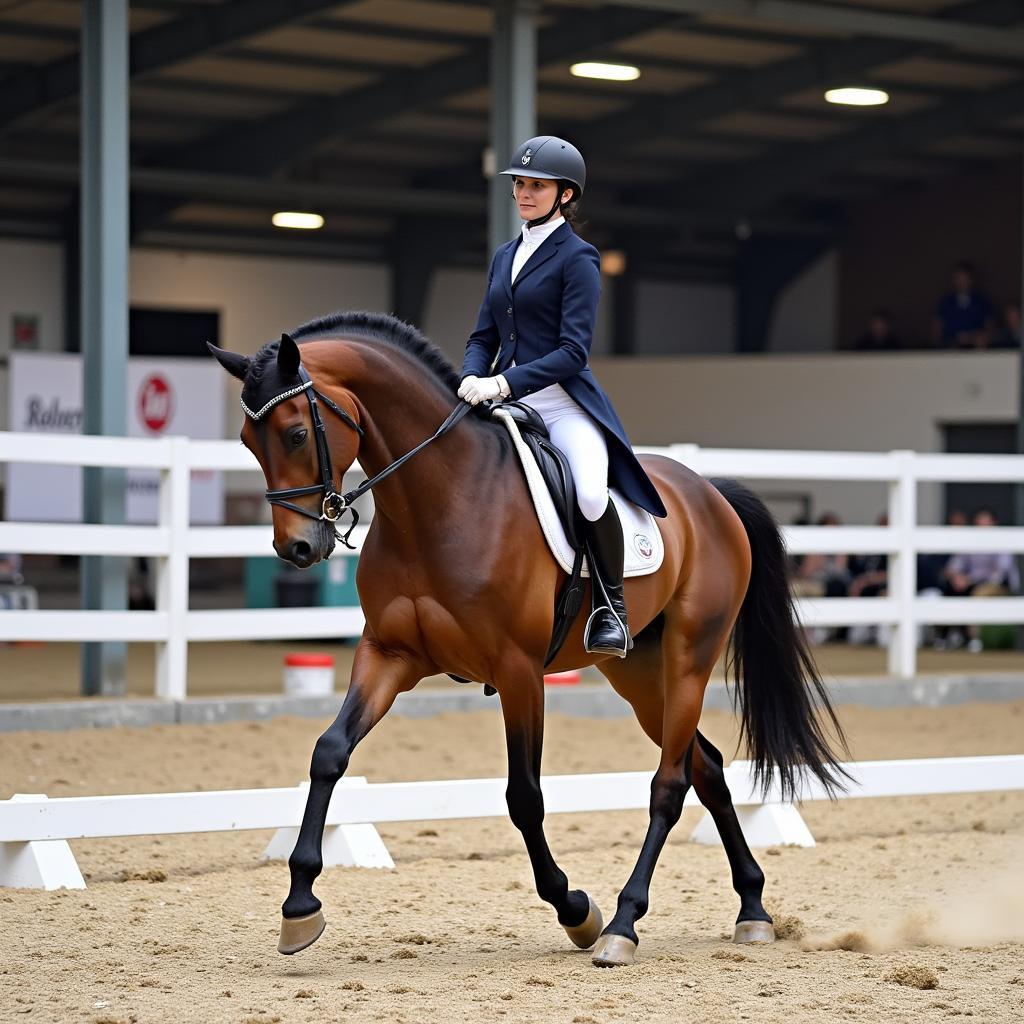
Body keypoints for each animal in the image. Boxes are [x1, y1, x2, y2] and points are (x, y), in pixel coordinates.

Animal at [209, 311, 847, 966]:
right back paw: (753, 909)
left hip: (689, 659)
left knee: (669, 784)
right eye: (247, 442)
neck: (437, 501)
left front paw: (576, 910)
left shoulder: (518, 672)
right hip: (640, 677)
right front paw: (299, 907)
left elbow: (525, 797)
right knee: (709, 768)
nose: (297, 548)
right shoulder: (388, 656)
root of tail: (710, 491)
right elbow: (329, 753)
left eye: (294, 435)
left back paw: (623, 925)